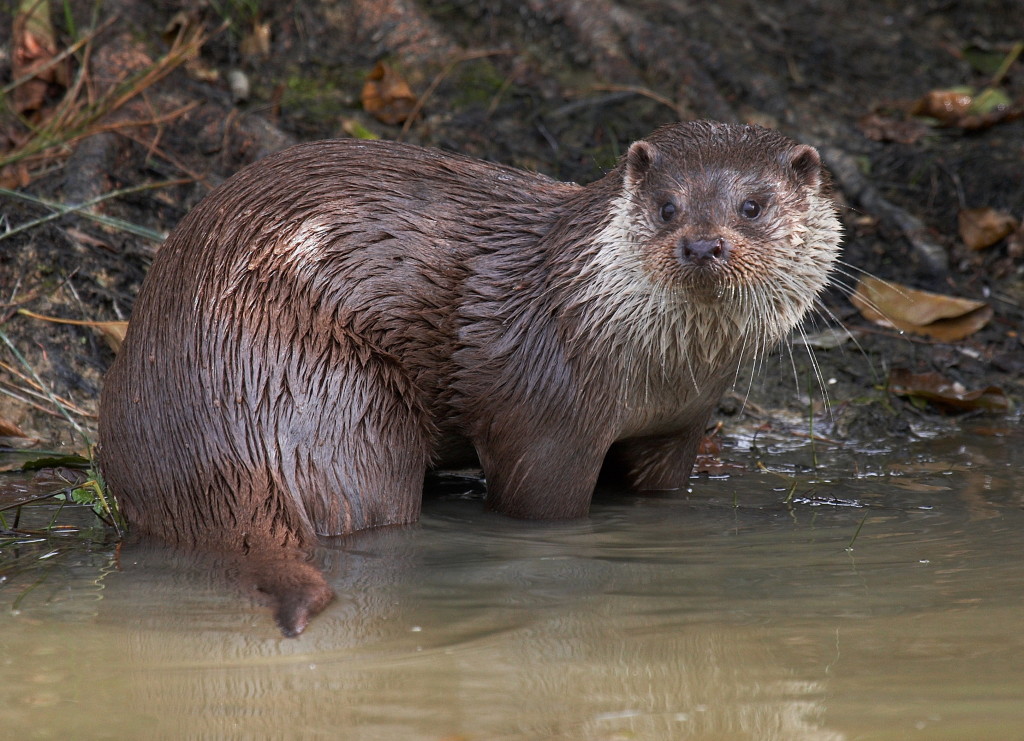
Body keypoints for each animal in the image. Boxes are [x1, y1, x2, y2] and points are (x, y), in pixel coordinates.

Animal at [99, 121, 843, 638]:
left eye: (753, 206)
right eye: (667, 206)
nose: (702, 242)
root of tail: (212, 443)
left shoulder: (681, 427)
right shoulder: (547, 412)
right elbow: (540, 505)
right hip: (334, 398)